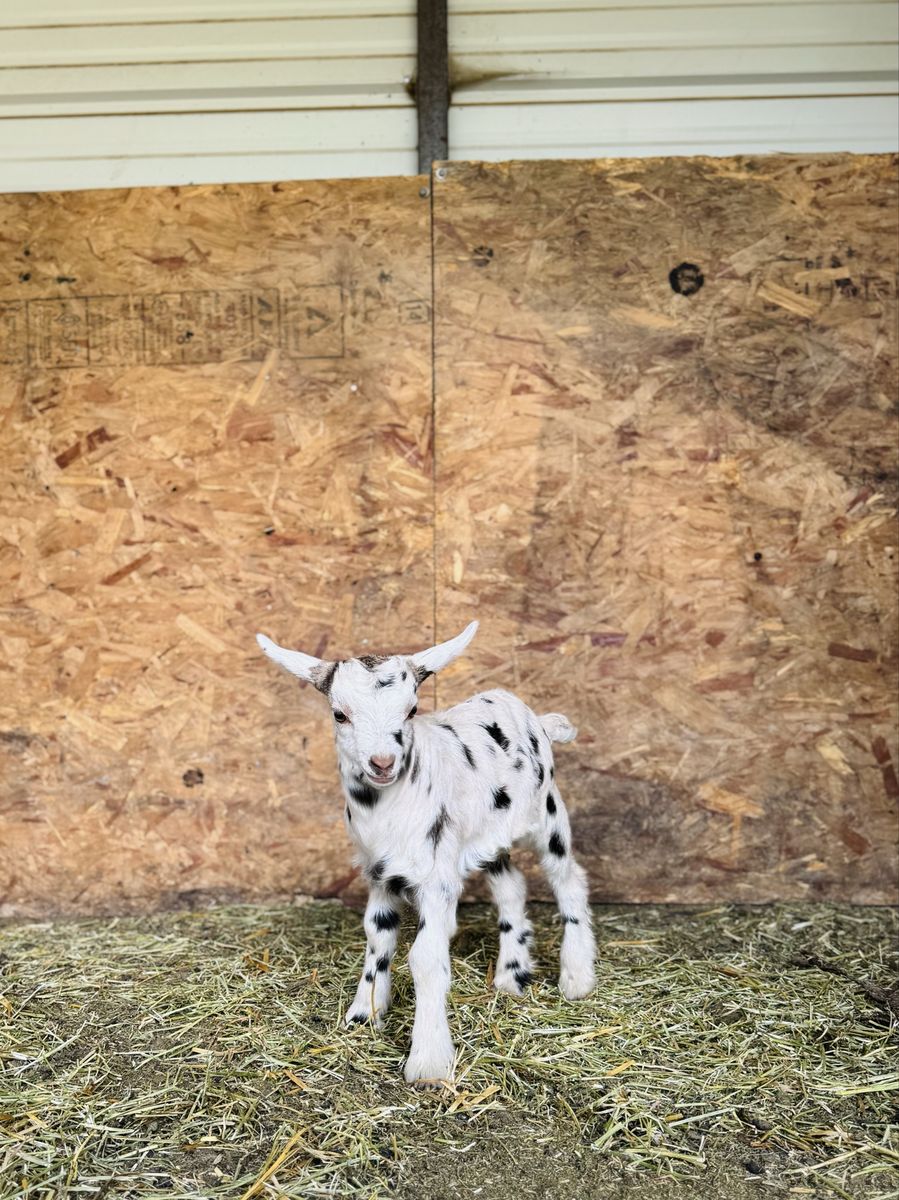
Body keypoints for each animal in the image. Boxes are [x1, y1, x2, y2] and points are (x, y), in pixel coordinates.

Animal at [256, 620, 596, 1087]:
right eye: (339, 714)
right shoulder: (379, 873)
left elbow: (426, 957)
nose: (382, 763)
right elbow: (377, 936)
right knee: (511, 886)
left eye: (411, 710)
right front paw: (364, 1014)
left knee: (568, 879)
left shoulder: (437, 879)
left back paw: (577, 977)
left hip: (547, 815)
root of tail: (539, 722)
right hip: (486, 834)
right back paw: (511, 976)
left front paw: (429, 1061)